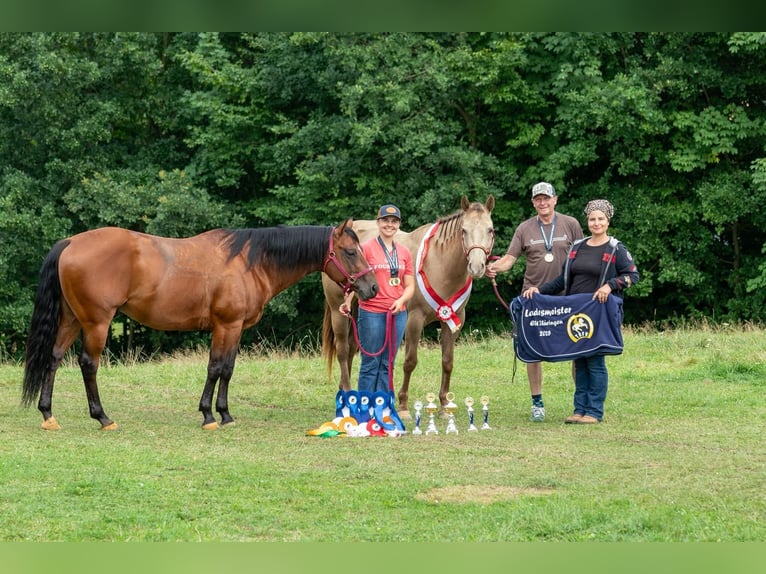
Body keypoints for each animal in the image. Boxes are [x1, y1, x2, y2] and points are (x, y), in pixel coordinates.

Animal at [22, 220, 378, 431]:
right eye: (350, 251)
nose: (372, 288)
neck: (250, 262)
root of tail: (70, 243)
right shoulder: (226, 326)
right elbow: (216, 368)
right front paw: (208, 415)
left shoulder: (236, 329)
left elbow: (227, 369)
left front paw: (225, 414)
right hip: (97, 322)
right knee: (88, 364)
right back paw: (102, 417)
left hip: (71, 318)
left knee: (53, 358)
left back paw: (47, 414)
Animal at [321, 196, 495, 416]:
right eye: (464, 230)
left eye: (490, 229)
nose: (477, 267)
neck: (438, 263)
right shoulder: (414, 319)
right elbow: (410, 361)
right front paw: (403, 404)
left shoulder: (454, 319)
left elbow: (447, 361)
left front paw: (444, 404)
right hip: (339, 313)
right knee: (343, 350)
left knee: (352, 349)